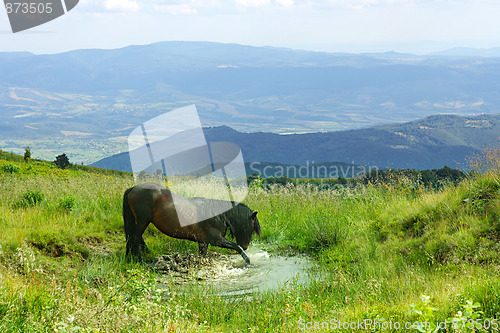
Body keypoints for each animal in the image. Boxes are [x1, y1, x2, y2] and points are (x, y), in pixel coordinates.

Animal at [122, 183, 260, 264]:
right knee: (135, 238)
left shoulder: (203, 242)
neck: (217, 215)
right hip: (143, 220)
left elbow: (202, 256)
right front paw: (248, 261)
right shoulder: (216, 240)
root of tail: (134, 188)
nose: (246, 246)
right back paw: (141, 261)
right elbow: (237, 247)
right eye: (251, 228)